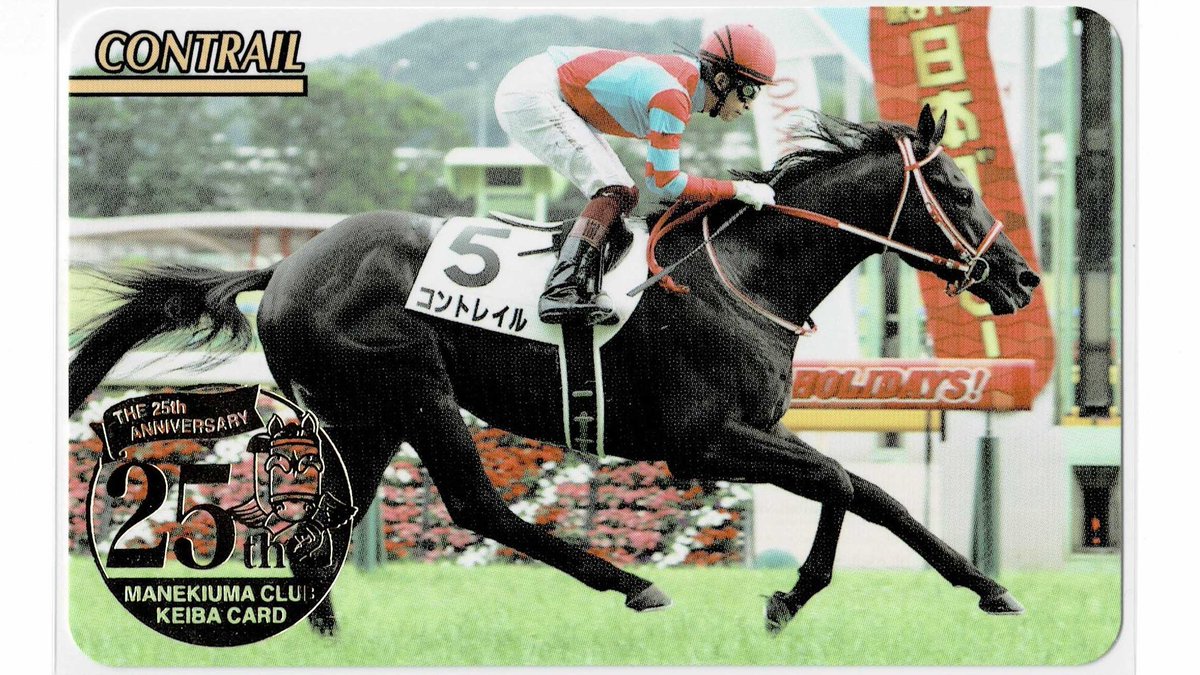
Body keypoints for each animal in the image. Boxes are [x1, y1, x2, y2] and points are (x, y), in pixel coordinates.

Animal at [70, 105, 1038, 636]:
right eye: (957, 190)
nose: (1022, 276)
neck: (746, 270)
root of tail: (284, 266)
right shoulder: (703, 440)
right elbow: (845, 479)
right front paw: (798, 596)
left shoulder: (753, 431)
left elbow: (866, 491)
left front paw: (980, 585)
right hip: (410, 390)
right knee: (475, 506)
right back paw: (634, 583)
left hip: (360, 418)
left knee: (323, 530)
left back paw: (322, 637)